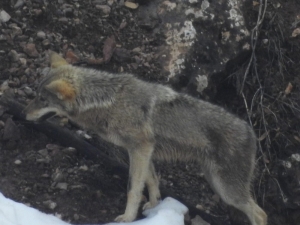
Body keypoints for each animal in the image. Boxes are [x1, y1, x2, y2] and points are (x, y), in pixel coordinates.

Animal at [23, 51, 268, 225]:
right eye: (36, 97)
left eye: (42, 100)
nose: (24, 116)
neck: (109, 101)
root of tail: (252, 132)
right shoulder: (145, 150)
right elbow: (151, 181)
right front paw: (154, 206)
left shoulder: (140, 149)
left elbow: (133, 188)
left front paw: (128, 218)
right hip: (217, 183)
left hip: (228, 191)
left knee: (261, 214)